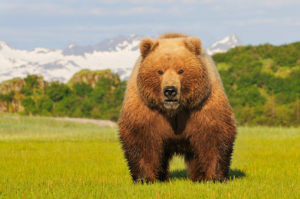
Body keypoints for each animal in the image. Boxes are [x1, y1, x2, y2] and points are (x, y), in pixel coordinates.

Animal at [118, 33, 237, 183]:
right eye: (159, 71)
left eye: (181, 70)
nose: (170, 91)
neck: (174, 111)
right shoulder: (146, 108)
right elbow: (141, 139)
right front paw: (145, 178)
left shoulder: (202, 105)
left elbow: (213, 135)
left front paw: (214, 177)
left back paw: (198, 177)